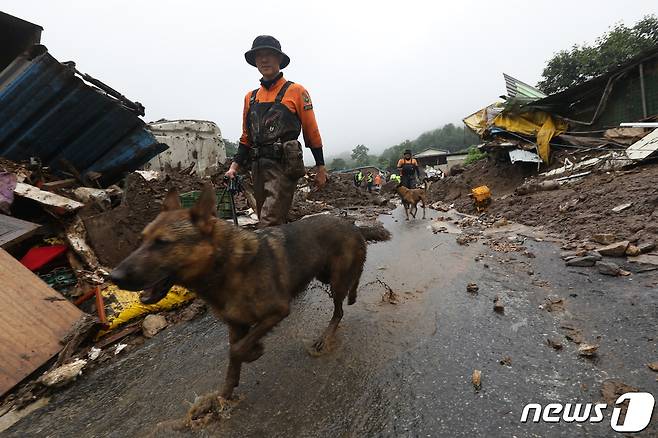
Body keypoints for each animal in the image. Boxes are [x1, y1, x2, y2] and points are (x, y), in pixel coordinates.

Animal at [109, 183, 386, 398]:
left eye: (162, 243)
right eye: (141, 240)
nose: (113, 277)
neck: (226, 267)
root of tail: (353, 225)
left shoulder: (277, 311)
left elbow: (237, 350)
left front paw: (255, 352)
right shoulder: (236, 325)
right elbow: (233, 359)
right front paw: (224, 395)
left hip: (335, 280)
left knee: (341, 306)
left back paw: (328, 333)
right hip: (324, 274)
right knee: (351, 285)